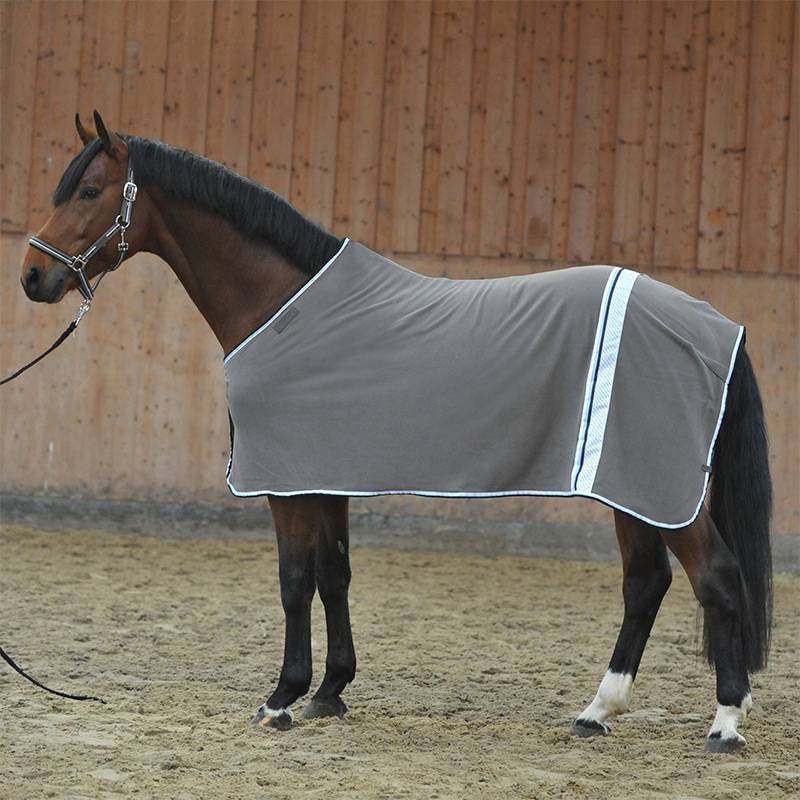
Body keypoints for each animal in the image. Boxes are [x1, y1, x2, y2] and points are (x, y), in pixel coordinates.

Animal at [18, 111, 772, 753]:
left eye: (89, 190)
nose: (32, 276)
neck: (284, 308)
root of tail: (713, 324)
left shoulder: (287, 484)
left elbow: (294, 581)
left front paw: (281, 698)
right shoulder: (323, 478)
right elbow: (334, 576)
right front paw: (329, 692)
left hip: (658, 488)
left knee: (716, 577)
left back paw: (725, 723)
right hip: (630, 487)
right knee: (646, 583)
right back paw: (597, 711)